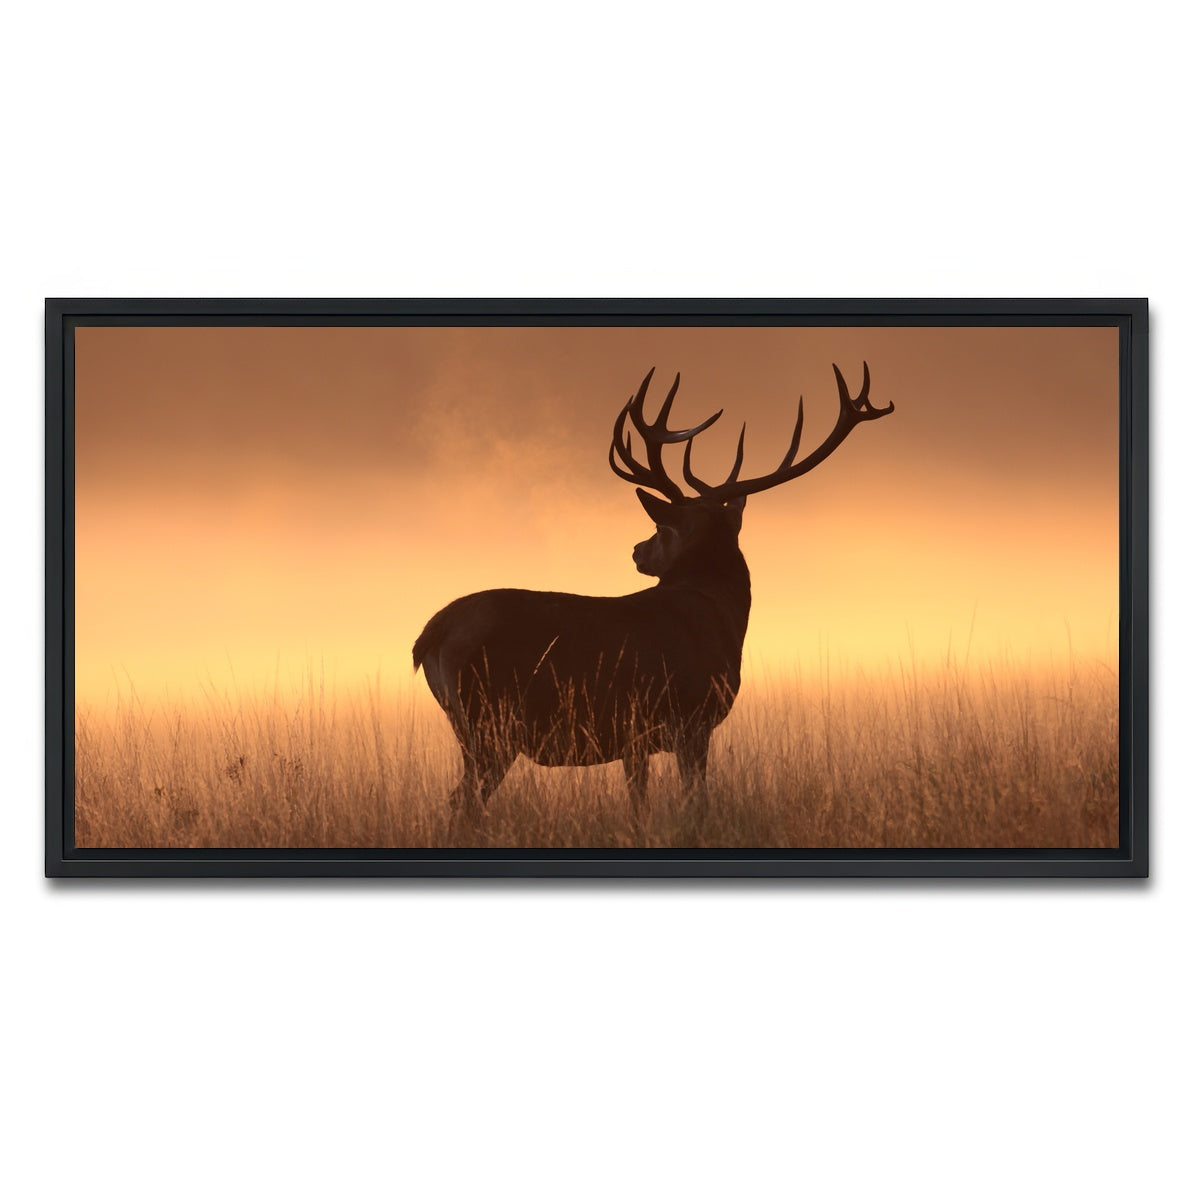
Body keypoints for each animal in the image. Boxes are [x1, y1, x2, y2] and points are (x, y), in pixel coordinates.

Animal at [412, 362, 893, 818]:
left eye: (661, 530)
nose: (637, 551)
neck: (721, 617)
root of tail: (430, 636)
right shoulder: (691, 719)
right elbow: (695, 801)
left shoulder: (636, 738)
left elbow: (639, 803)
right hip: (490, 721)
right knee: (462, 801)